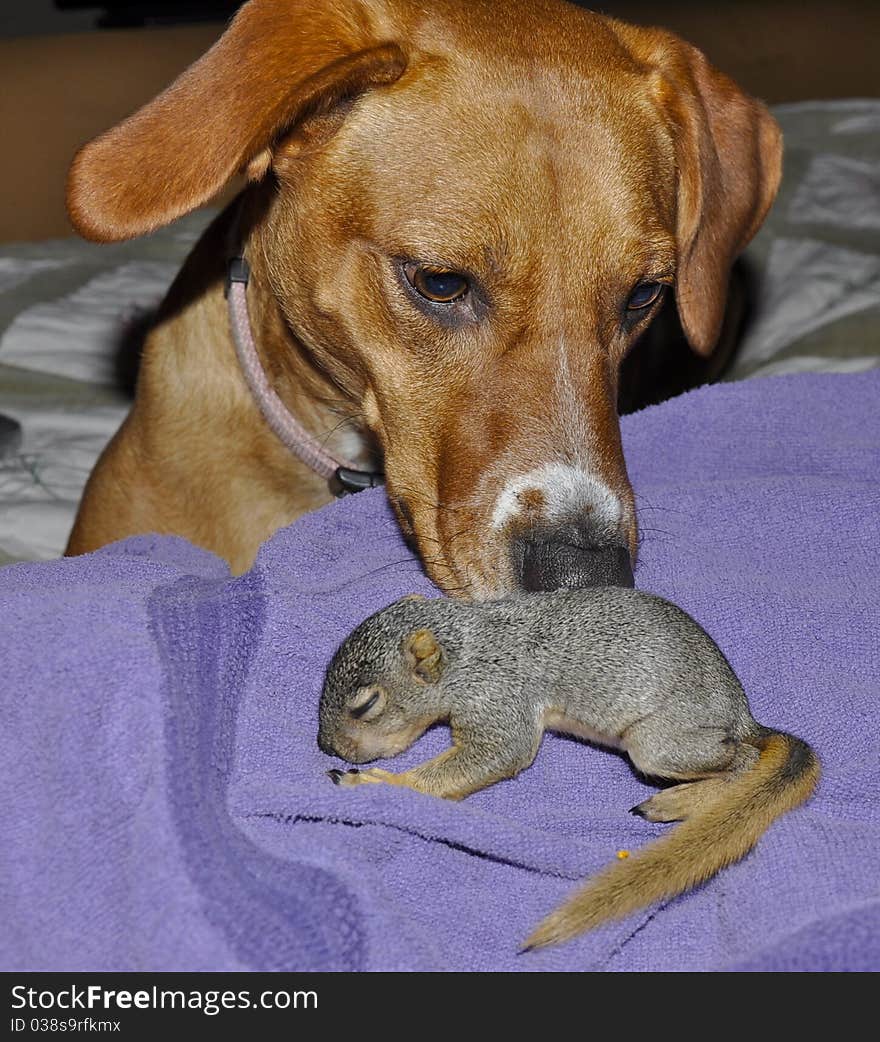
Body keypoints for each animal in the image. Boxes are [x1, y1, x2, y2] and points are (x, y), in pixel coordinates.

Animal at [318, 591, 820, 950]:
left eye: (365, 705)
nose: (324, 746)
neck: (467, 654)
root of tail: (741, 716)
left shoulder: (498, 697)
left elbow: (496, 752)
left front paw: (376, 785)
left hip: (659, 745)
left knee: (744, 762)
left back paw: (683, 800)